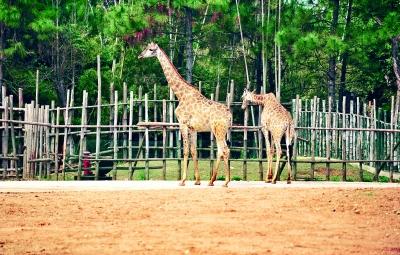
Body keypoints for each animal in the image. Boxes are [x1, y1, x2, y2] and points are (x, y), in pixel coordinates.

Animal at [138, 41, 231, 186]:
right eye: (147, 48)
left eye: (151, 49)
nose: (140, 55)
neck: (180, 95)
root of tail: (229, 115)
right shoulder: (193, 128)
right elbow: (193, 151)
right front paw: (197, 181)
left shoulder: (183, 123)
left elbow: (185, 151)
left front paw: (182, 180)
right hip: (222, 130)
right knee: (222, 150)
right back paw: (212, 181)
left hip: (218, 129)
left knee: (224, 150)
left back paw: (224, 182)